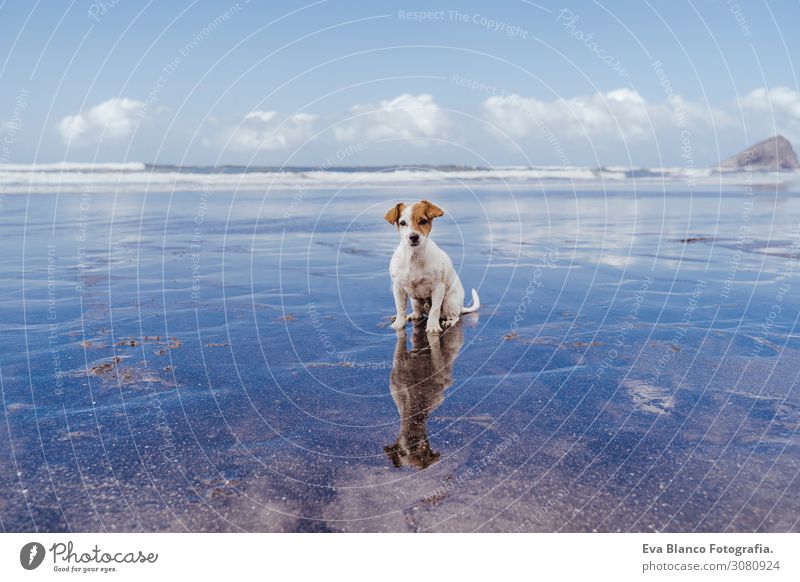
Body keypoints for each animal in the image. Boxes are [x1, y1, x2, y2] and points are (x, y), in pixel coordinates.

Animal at [384, 200, 478, 334]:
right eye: (402, 223)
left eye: (423, 221)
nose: (413, 237)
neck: (414, 257)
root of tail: (461, 307)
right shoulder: (398, 288)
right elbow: (400, 308)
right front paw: (399, 323)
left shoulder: (438, 288)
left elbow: (435, 310)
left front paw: (433, 327)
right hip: (415, 301)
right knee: (418, 313)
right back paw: (411, 315)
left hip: (449, 301)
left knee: (455, 316)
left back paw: (449, 321)